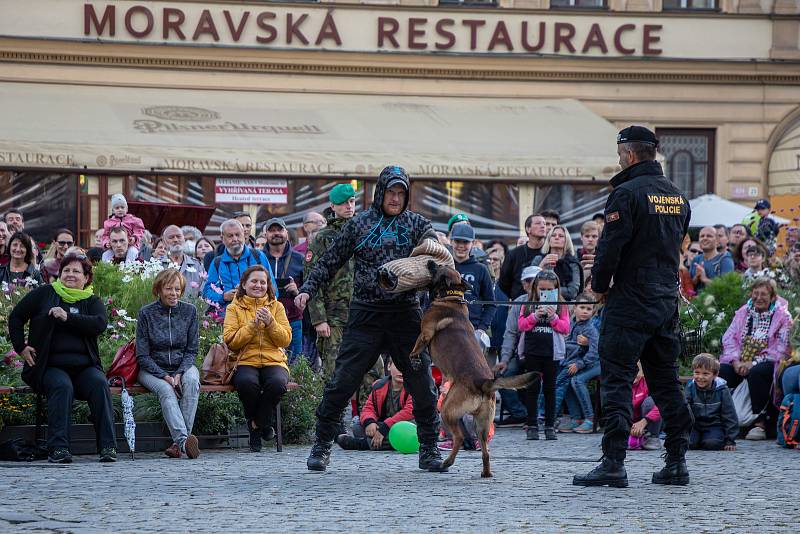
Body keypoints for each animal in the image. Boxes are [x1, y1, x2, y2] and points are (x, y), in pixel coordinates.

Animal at [412, 262, 536, 480]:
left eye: (438, 268)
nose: (430, 263)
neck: (450, 297)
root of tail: (483, 383)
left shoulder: (425, 333)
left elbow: (416, 347)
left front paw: (414, 358)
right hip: (482, 425)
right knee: (485, 451)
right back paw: (485, 473)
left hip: (447, 410)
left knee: (460, 437)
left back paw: (447, 462)